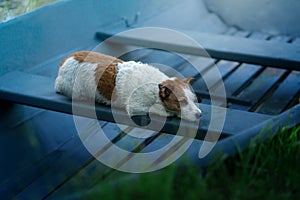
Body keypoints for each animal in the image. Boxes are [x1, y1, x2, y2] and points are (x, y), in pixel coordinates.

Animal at [55, 50, 202, 121]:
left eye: (193, 99)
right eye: (182, 101)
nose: (199, 115)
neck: (155, 87)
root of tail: (65, 60)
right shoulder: (135, 105)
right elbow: (160, 110)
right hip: (73, 89)